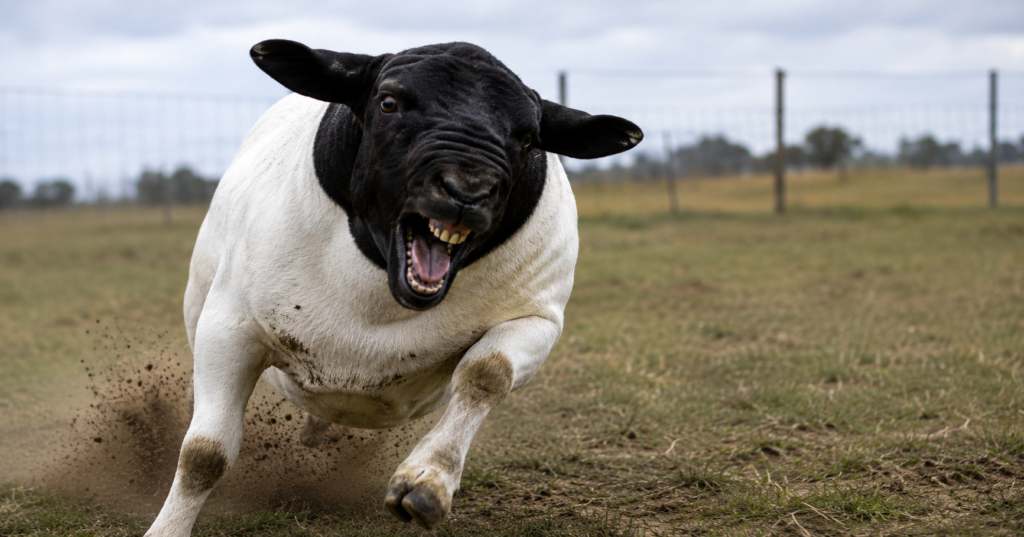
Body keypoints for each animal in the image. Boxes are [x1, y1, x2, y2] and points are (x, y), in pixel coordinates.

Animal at [145, 39, 643, 536]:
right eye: (388, 104)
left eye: (526, 138)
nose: (468, 191)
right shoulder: (229, 326)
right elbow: (204, 454)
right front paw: (166, 528)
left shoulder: (536, 318)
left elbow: (487, 373)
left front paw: (428, 480)